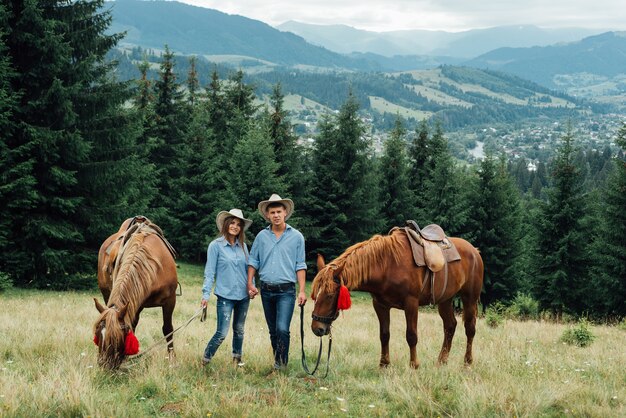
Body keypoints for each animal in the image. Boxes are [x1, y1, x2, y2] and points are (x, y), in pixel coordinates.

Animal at [92, 219, 177, 370]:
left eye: (116, 338)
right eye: (97, 334)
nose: (104, 366)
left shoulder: (170, 300)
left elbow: (168, 329)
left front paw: (172, 361)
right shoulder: (135, 303)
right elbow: (132, 325)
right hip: (106, 293)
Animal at [310, 229, 482, 370]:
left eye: (330, 296)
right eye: (315, 295)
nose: (316, 329)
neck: (387, 265)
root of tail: (475, 251)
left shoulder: (411, 303)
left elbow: (411, 336)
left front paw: (414, 365)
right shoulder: (380, 305)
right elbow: (384, 334)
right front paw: (384, 364)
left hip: (470, 298)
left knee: (470, 328)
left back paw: (467, 362)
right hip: (445, 300)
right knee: (450, 326)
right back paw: (442, 361)